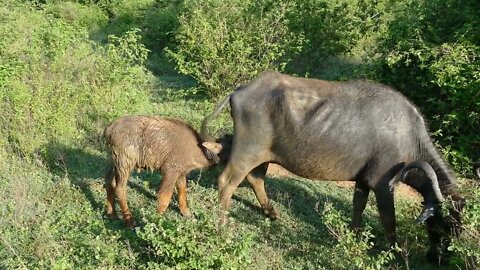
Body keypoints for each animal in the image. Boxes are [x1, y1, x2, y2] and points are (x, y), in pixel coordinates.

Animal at [202, 70, 464, 262]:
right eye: (448, 225)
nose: (440, 258)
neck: (409, 138)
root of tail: (240, 91)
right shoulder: (383, 185)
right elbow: (389, 219)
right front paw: (395, 254)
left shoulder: (363, 181)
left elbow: (358, 206)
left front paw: (354, 234)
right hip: (247, 151)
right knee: (226, 182)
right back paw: (221, 225)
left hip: (263, 156)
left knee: (256, 179)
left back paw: (270, 211)